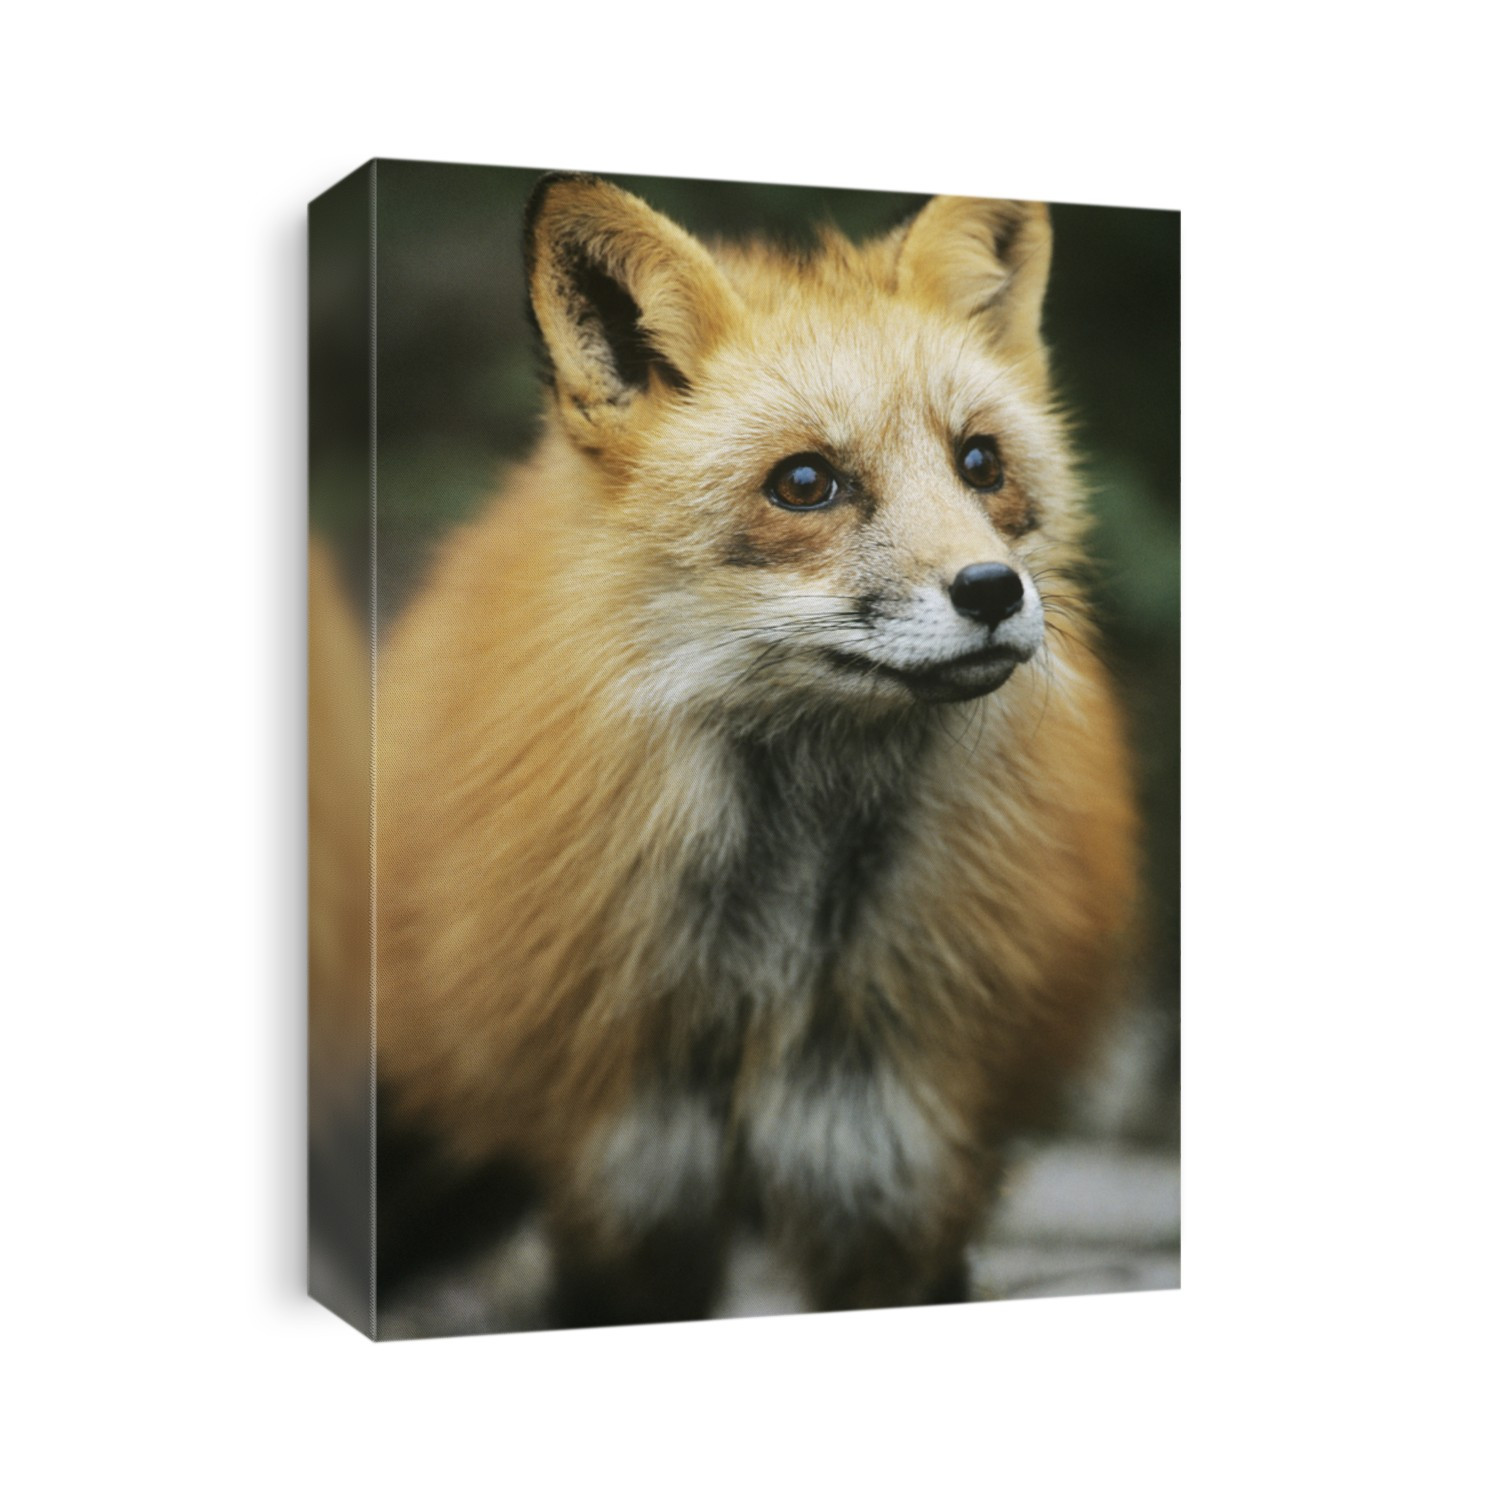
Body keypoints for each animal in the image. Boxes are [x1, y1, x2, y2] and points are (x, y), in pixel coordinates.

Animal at [313, 172, 1139, 1331]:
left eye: (980, 462)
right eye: (804, 483)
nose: (992, 591)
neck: (777, 962)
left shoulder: (902, 1175)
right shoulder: (626, 1185)